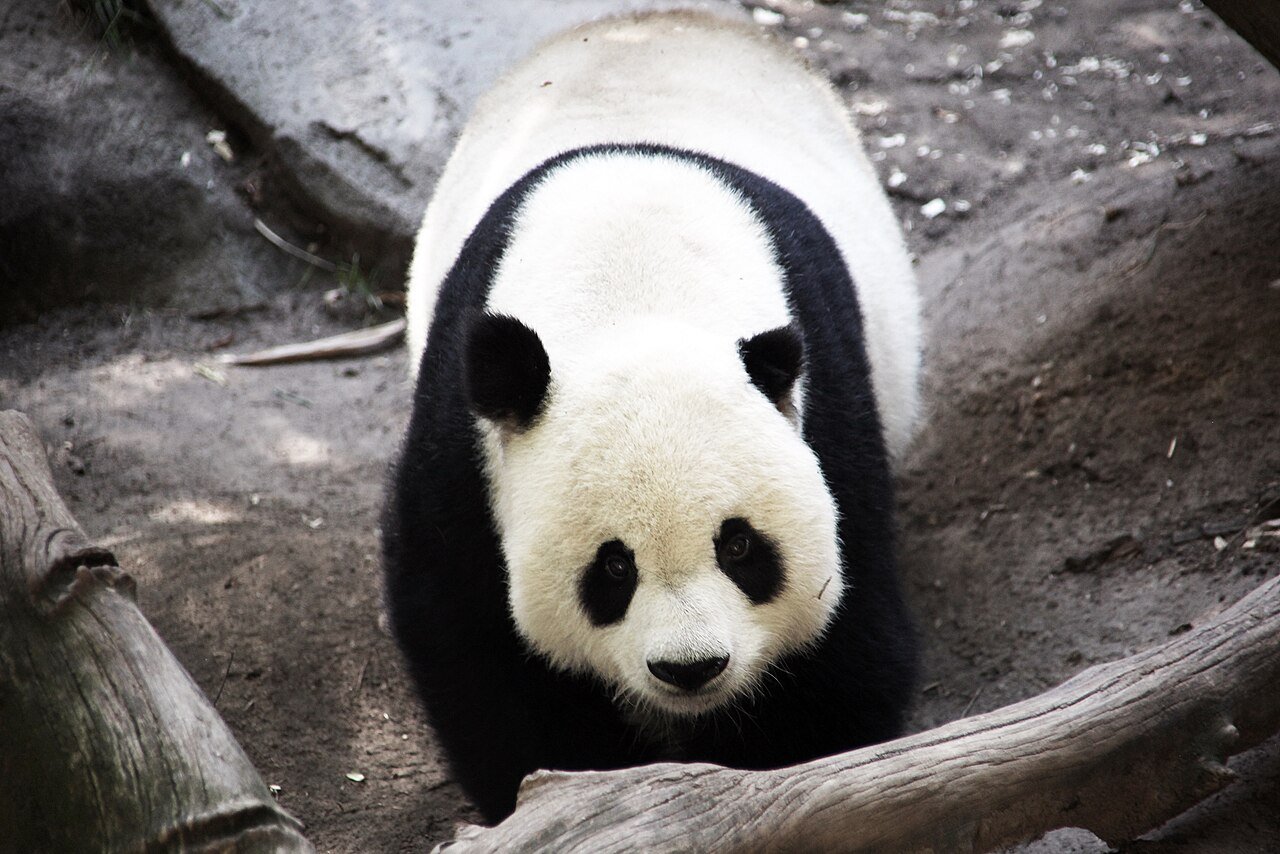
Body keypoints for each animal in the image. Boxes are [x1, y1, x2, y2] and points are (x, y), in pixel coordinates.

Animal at [383, 10, 922, 824]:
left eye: (739, 546)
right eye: (613, 565)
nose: (691, 668)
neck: (636, 280)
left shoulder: (829, 402)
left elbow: (843, 637)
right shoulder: (466, 444)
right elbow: (476, 639)